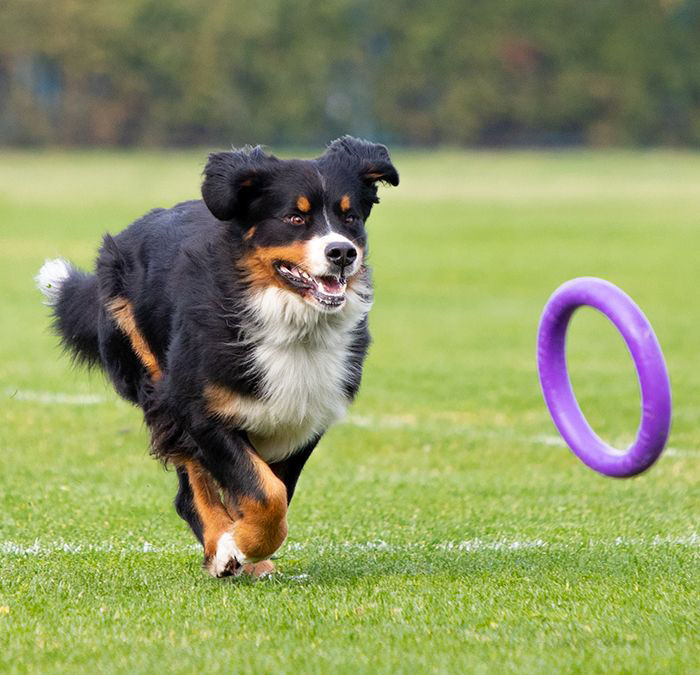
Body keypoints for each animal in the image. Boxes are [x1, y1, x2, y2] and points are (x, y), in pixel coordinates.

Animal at [37, 136, 400, 576]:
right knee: (191, 486)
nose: (342, 253)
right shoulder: (200, 410)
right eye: (295, 218)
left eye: (350, 218)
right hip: (158, 385)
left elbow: (273, 492)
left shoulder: (304, 417)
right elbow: (265, 494)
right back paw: (220, 544)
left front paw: (249, 546)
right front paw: (237, 545)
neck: (290, 322)